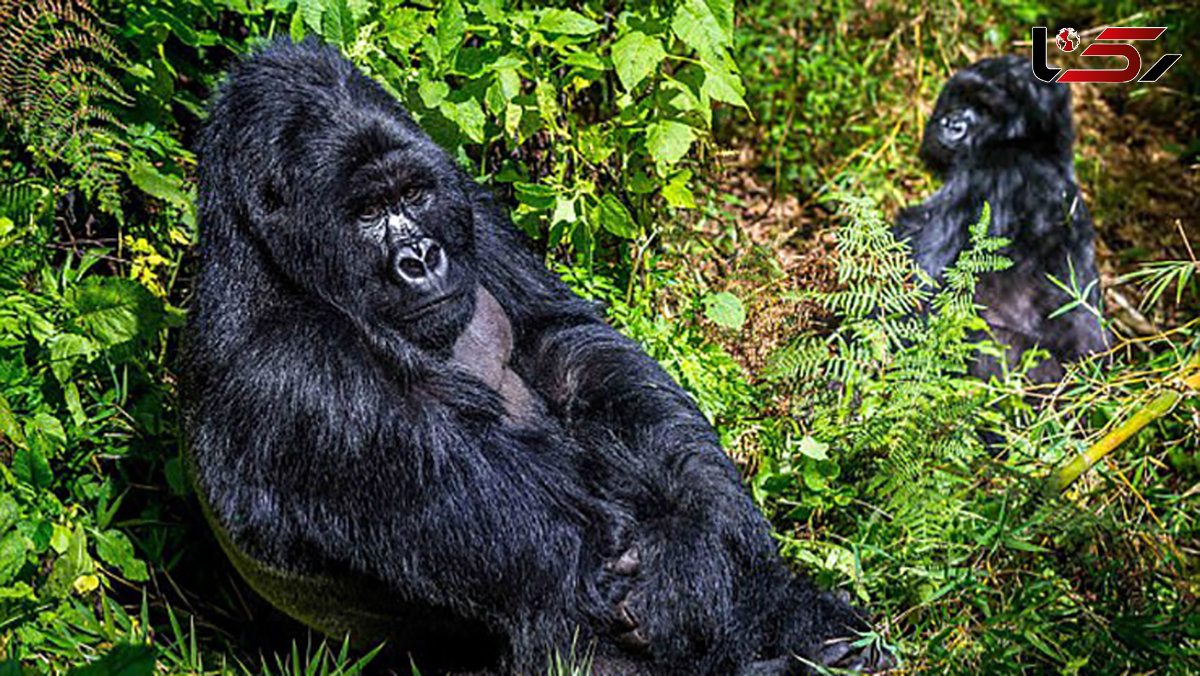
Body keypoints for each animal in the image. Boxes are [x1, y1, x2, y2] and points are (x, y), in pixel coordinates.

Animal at [180, 41, 892, 676]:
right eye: (368, 211)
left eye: (413, 195)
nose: (420, 258)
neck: (273, 264)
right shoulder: (302, 376)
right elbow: (584, 563)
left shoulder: (467, 204)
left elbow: (565, 343)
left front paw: (698, 541)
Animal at [897, 55, 1108, 384]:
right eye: (961, 97)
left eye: (985, 110)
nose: (952, 124)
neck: (1037, 148)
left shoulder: (991, 171)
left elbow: (918, 292)